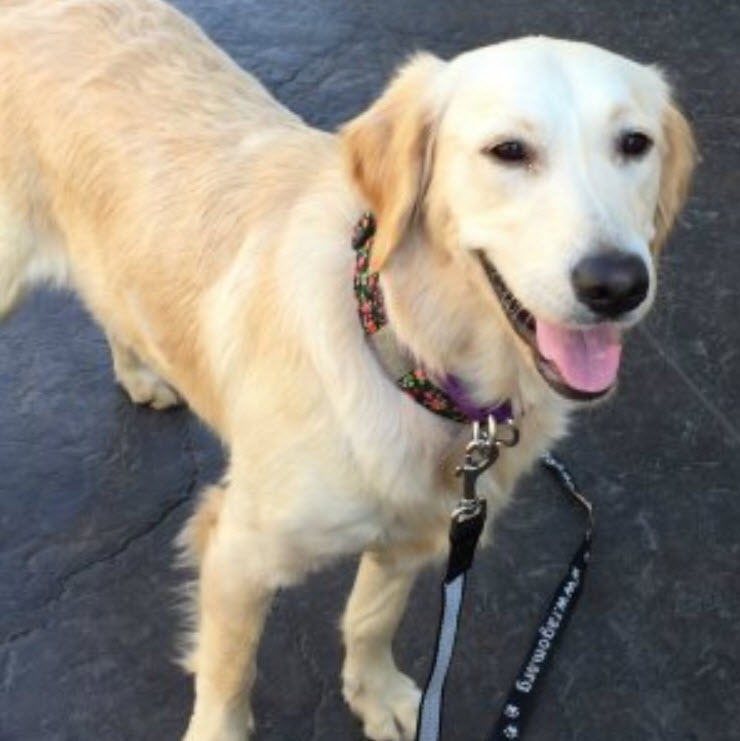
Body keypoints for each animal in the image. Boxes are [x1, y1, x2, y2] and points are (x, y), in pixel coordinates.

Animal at [0, 1, 695, 739]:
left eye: (635, 143)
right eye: (509, 151)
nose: (616, 284)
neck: (415, 361)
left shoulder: (424, 528)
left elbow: (370, 618)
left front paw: (377, 692)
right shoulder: (238, 549)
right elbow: (230, 668)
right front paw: (222, 724)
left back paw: (139, 372)